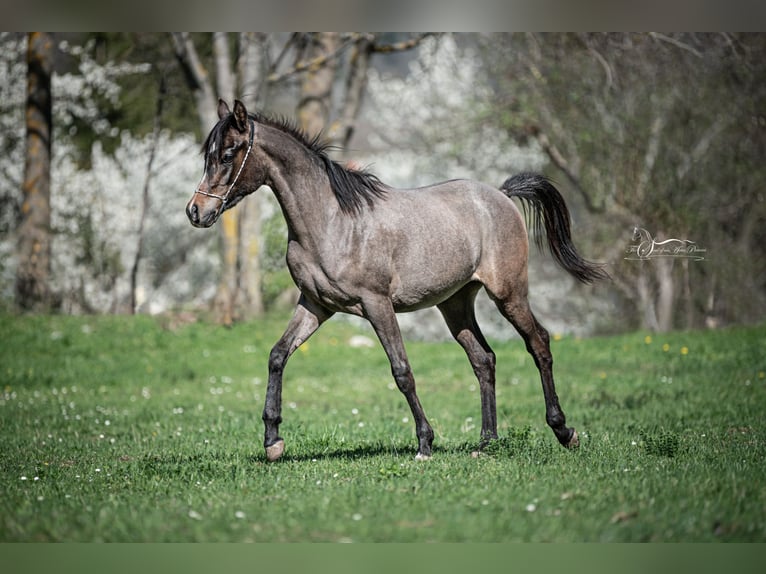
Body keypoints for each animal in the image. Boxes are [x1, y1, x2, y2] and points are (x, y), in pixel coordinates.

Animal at [186, 100, 608, 464]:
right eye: (209, 155)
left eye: (228, 155)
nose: (196, 211)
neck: (332, 222)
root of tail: (500, 196)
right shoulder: (315, 305)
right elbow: (277, 355)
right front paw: (273, 441)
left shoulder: (377, 304)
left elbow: (401, 371)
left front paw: (425, 443)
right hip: (455, 304)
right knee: (483, 360)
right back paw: (486, 443)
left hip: (508, 294)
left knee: (539, 343)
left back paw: (564, 431)